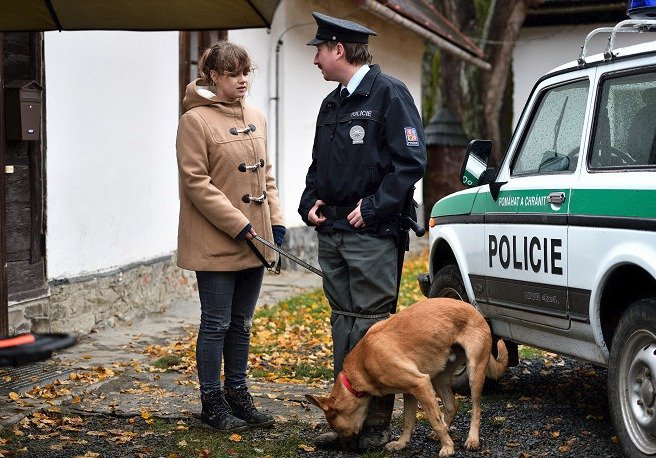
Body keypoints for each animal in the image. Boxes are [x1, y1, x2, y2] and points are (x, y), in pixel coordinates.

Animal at [304, 296, 510, 454]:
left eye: (337, 428)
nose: (346, 449)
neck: (362, 365)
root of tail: (474, 310)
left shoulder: (420, 384)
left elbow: (434, 420)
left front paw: (447, 447)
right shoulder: (410, 391)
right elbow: (408, 420)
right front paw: (402, 443)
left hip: (474, 373)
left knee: (476, 409)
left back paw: (472, 439)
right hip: (439, 378)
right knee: (452, 405)